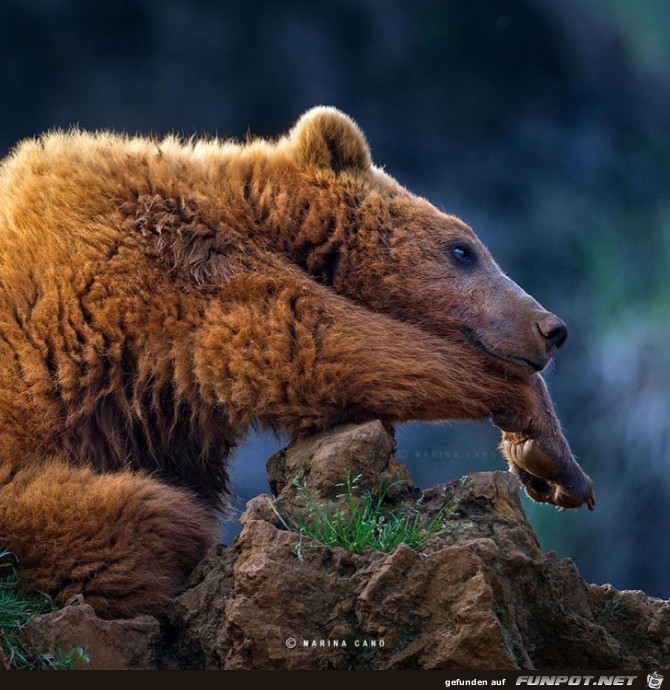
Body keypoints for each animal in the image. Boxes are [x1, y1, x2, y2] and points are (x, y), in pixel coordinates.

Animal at [0, 107, 596, 620]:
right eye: (462, 250)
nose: (551, 328)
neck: (256, 214)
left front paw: (537, 460)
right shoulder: (169, 268)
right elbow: (313, 343)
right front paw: (554, 456)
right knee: (146, 517)